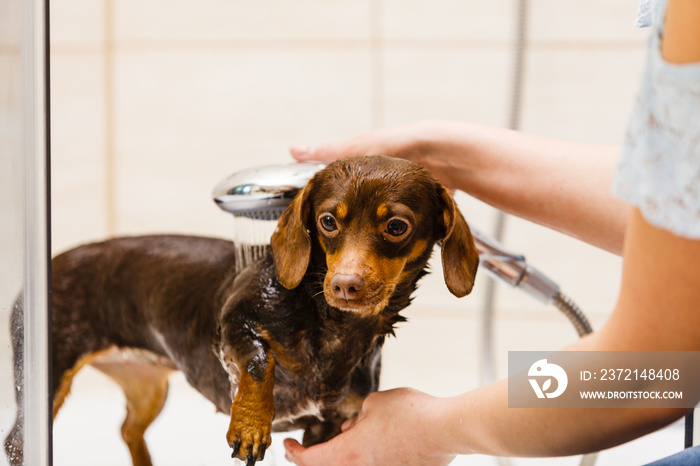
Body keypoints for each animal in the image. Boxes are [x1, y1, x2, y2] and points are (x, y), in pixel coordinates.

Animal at [5, 157, 478, 466]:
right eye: (328, 221)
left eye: (396, 227)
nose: (345, 285)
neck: (330, 326)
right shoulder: (234, 322)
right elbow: (257, 363)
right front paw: (251, 425)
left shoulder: (327, 427)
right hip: (46, 380)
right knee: (15, 443)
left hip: (147, 390)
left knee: (128, 430)